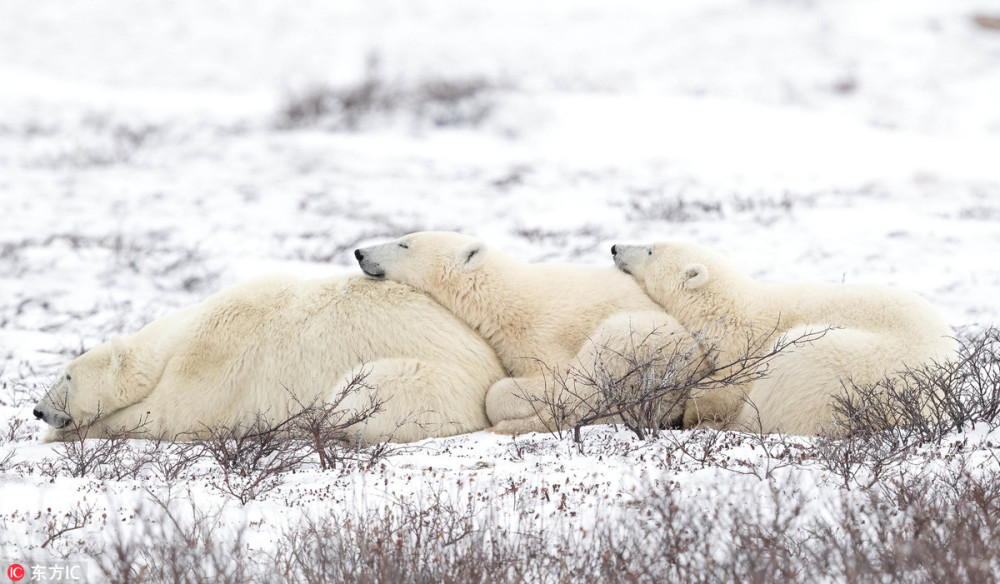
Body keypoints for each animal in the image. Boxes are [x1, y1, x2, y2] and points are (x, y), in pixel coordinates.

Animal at [34, 274, 504, 442]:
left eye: (67, 376)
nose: (38, 410)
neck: (177, 340)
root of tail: (493, 370)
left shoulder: (216, 357)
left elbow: (169, 415)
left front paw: (58, 436)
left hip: (430, 380)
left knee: (360, 396)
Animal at [352, 232, 704, 434]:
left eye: (404, 243)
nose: (359, 253)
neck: (508, 300)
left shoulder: (545, 334)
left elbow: (552, 383)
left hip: (646, 342)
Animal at [612, 240, 956, 436]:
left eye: (651, 250)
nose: (615, 248)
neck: (729, 310)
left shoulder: (744, 346)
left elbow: (725, 389)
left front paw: (695, 413)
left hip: (838, 367)